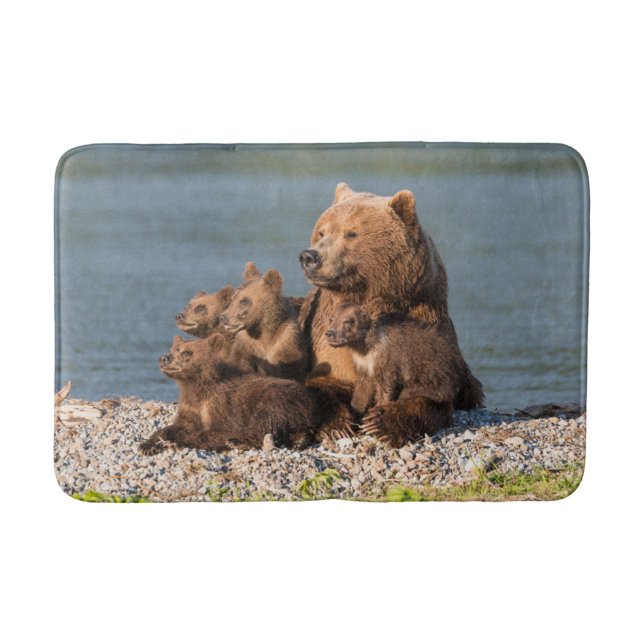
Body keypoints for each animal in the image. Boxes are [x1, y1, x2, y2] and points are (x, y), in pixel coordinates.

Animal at [139, 334, 349, 455]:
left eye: (186, 353)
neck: (197, 386)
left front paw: (178, 441)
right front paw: (148, 444)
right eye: (172, 349)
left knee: (265, 423)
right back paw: (299, 440)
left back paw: (237, 442)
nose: (164, 358)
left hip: (277, 399)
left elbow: (216, 431)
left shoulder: (222, 405)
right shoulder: (191, 406)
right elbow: (176, 426)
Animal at [325, 300, 462, 446]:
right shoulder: (364, 365)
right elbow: (362, 390)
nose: (330, 333)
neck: (366, 346)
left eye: (348, 321)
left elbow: (385, 388)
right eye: (332, 318)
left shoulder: (390, 361)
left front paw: (373, 417)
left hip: (436, 380)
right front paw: (354, 414)